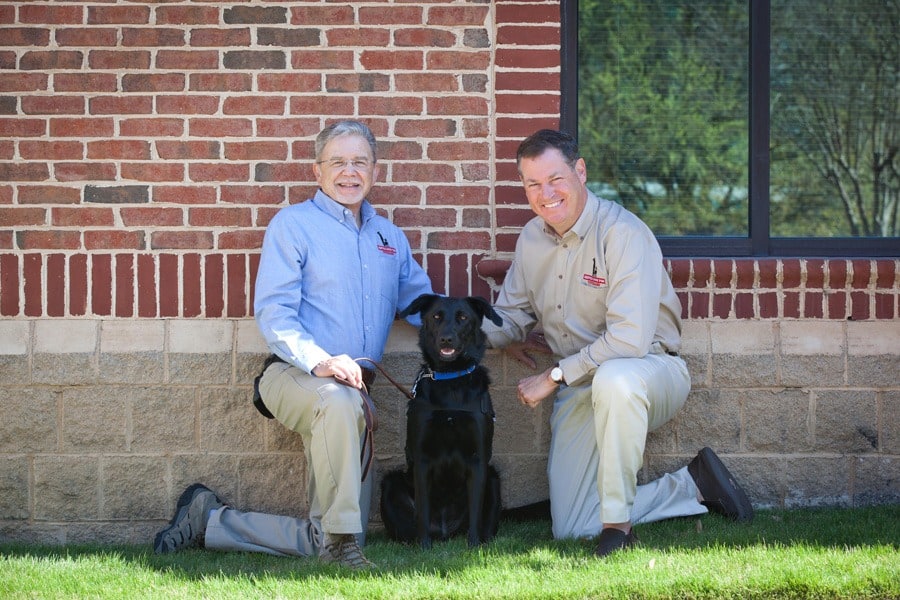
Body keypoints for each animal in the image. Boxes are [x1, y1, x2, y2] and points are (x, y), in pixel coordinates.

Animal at [380, 294, 506, 548]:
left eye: (463, 317)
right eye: (436, 316)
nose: (446, 338)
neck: (451, 380)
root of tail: (446, 531)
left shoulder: (478, 459)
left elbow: (476, 512)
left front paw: (473, 546)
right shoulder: (421, 459)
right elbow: (423, 509)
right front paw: (424, 548)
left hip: (493, 479)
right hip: (390, 483)